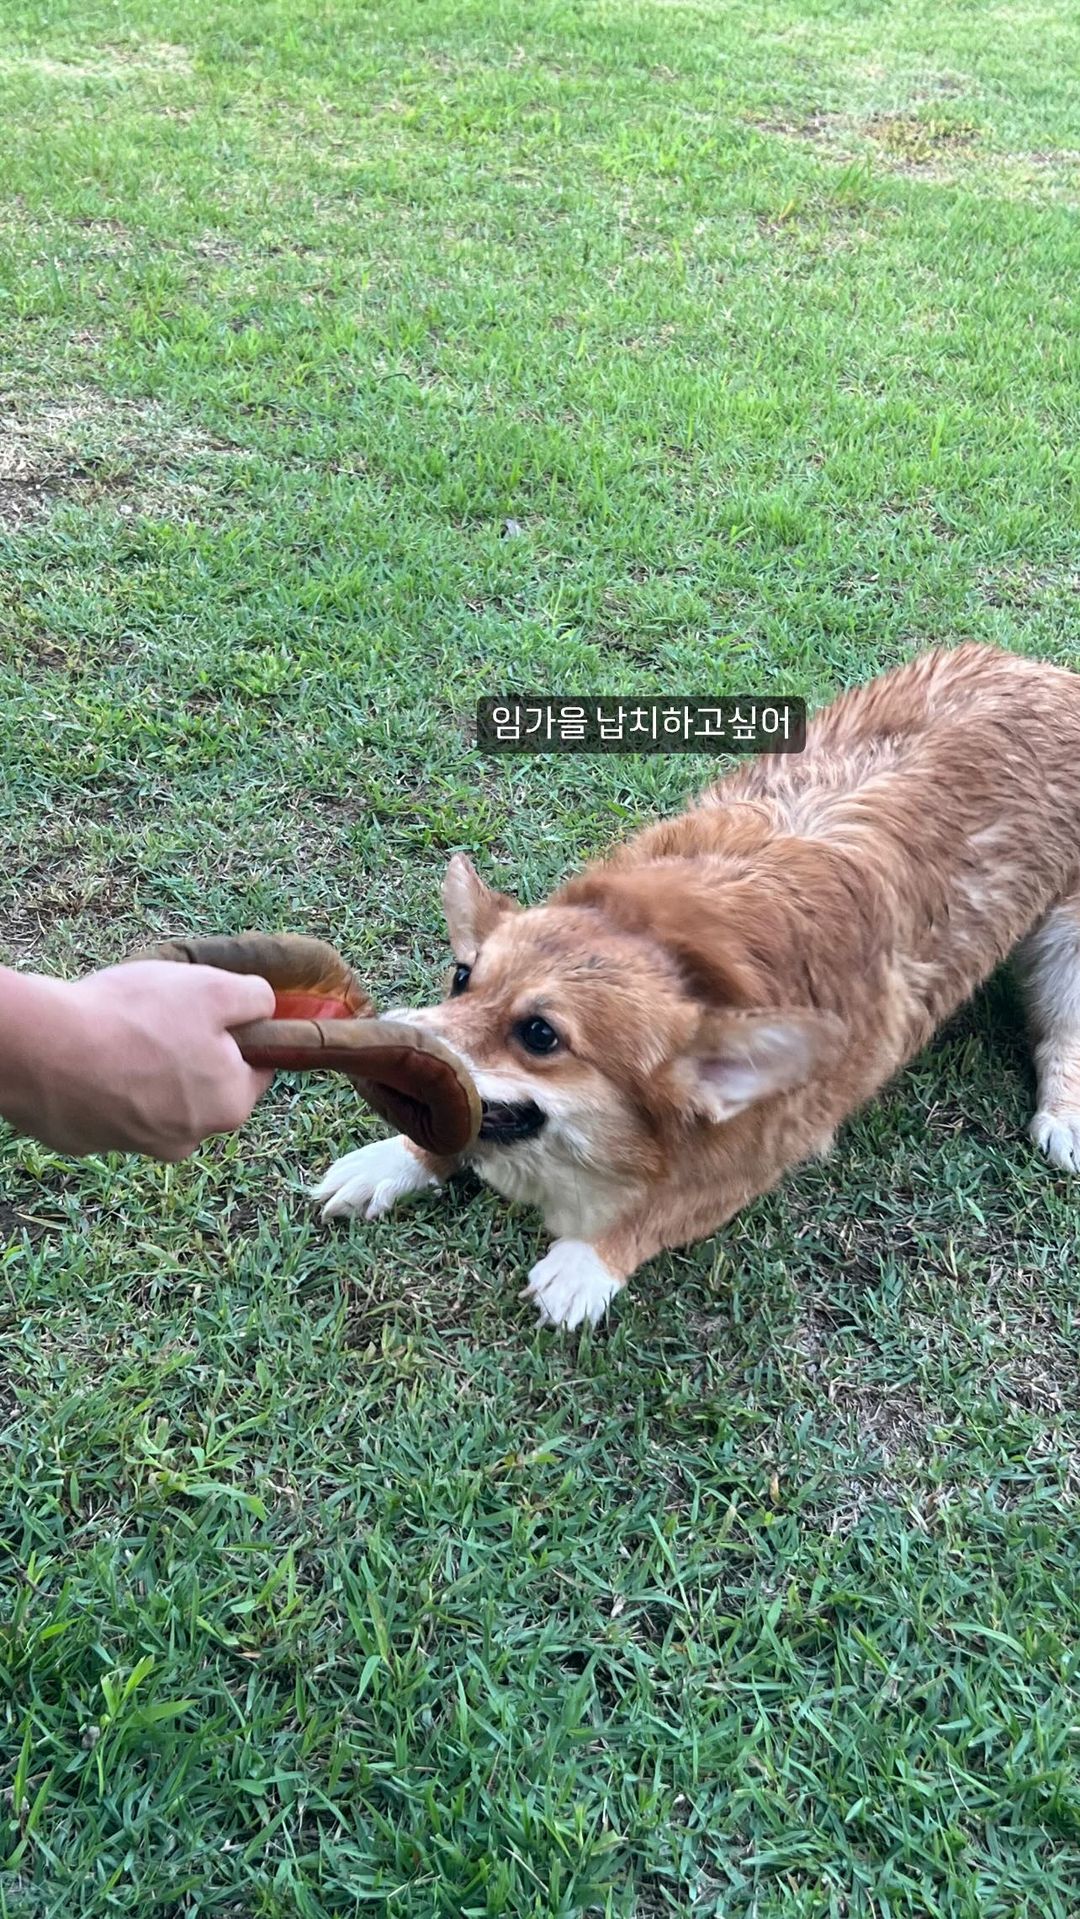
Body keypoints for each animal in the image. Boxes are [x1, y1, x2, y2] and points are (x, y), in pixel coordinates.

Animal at [312, 644, 1080, 1320]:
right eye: (462, 976)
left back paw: (1063, 1116)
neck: (685, 957)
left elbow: (663, 1211)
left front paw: (589, 1262)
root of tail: (1048, 673)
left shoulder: (758, 1153)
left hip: (1063, 949)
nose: (375, 1043)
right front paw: (395, 1161)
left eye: (540, 1034)